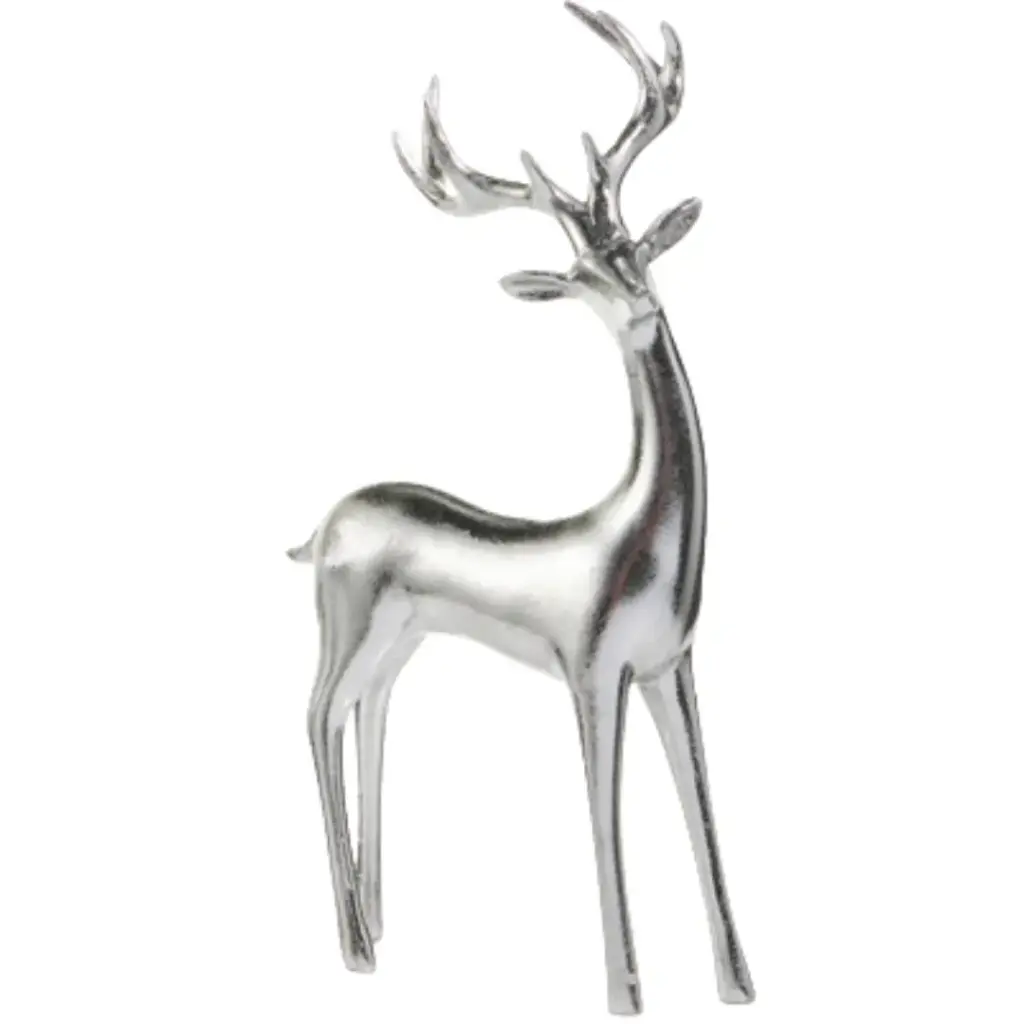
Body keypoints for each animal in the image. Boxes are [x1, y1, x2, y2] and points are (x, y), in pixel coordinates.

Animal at [288, 3, 754, 1014]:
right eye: (578, 277)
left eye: (635, 251)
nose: (640, 308)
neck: (638, 539)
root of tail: (326, 524)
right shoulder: (590, 672)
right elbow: (603, 812)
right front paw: (626, 992)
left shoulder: (672, 666)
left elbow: (702, 803)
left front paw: (739, 984)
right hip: (344, 621)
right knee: (313, 714)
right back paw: (354, 948)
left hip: (403, 639)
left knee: (368, 707)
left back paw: (378, 923)